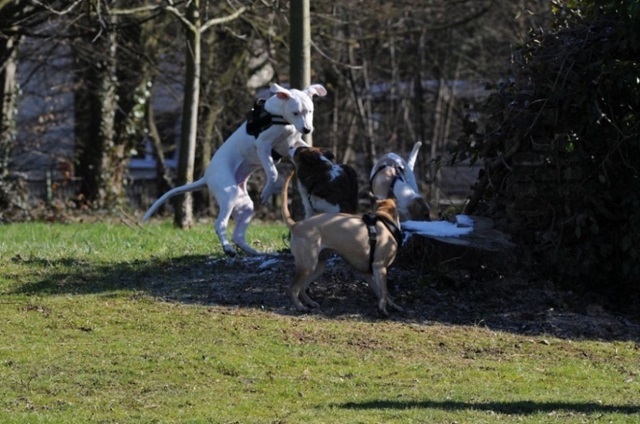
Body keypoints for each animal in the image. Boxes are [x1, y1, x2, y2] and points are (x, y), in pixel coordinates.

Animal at [143, 83, 328, 255]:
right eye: (296, 112)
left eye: (310, 111)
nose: (307, 129)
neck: (281, 118)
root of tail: (207, 177)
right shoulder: (263, 146)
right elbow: (273, 172)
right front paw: (266, 191)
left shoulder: (291, 144)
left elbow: (306, 148)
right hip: (229, 194)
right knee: (220, 224)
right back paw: (227, 248)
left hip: (244, 205)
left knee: (237, 236)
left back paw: (253, 251)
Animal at [282, 170, 402, 314]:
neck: (385, 219)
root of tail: (296, 225)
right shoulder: (380, 267)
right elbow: (384, 291)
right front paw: (383, 309)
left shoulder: (368, 273)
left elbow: (382, 293)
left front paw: (393, 305)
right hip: (307, 265)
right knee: (293, 289)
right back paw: (299, 306)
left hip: (317, 266)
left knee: (302, 288)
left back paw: (310, 302)